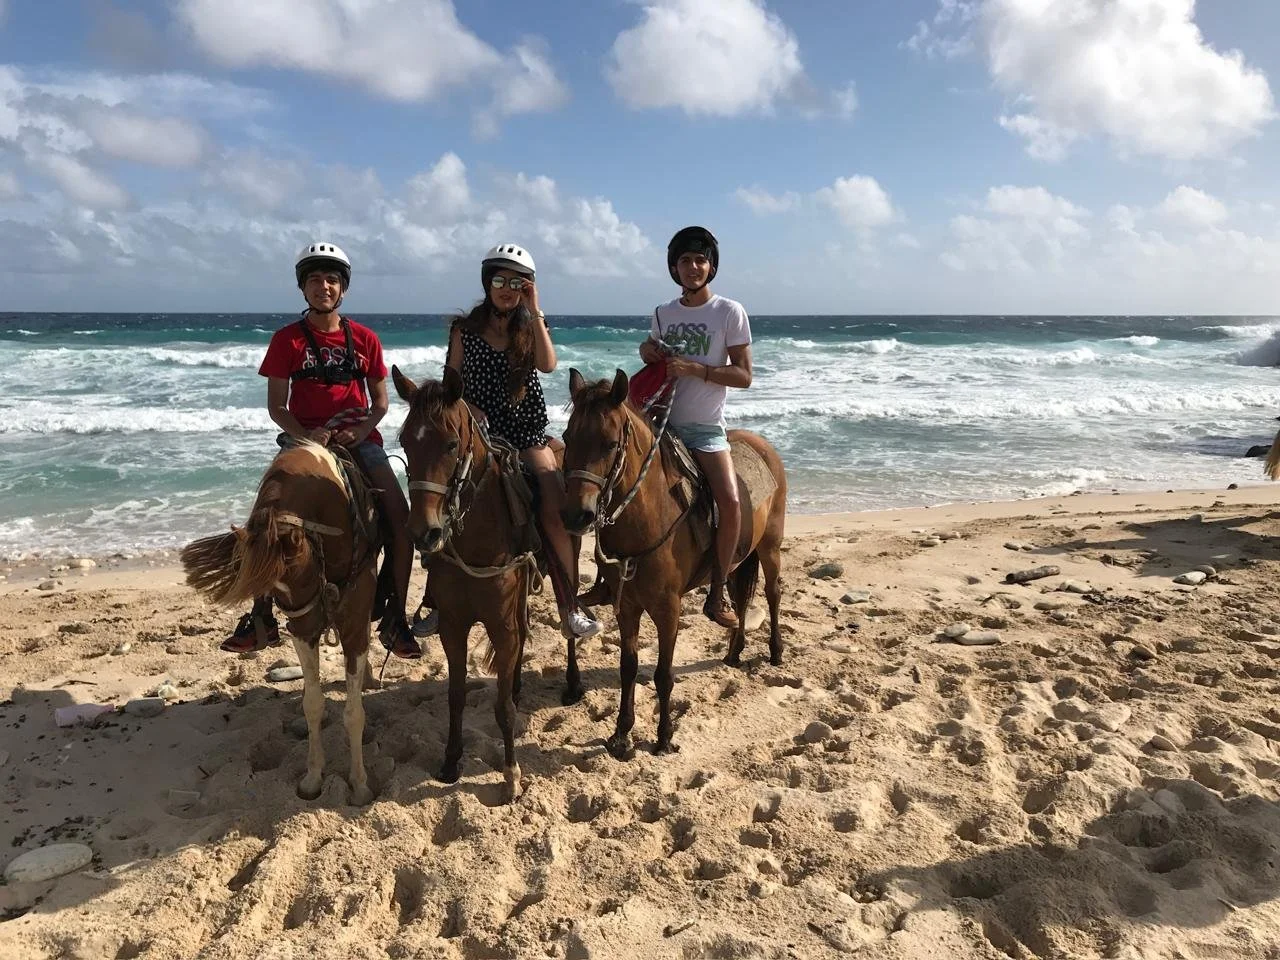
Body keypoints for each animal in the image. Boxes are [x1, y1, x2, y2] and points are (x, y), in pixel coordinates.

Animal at [179, 442, 380, 806]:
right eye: (270, 591)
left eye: (301, 575)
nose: (309, 620)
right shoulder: (302, 632)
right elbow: (312, 704)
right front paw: (313, 778)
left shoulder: (355, 627)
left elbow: (354, 712)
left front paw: (359, 785)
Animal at [392, 364, 572, 803]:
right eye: (405, 441)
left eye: (451, 444)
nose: (423, 532)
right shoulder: (454, 626)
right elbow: (455, 697)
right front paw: (450, 762)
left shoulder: (499, 624)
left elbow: (503, 709)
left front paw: (510, 775)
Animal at [560, 368, 787, 759]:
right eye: (566, 437)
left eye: (609, 443)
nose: (577, 515)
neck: (649, 515)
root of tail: (763, 446)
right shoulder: (628, 606)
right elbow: (628, 667)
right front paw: (621, 733)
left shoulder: (668, 609)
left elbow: (663, 675)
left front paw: (664, 736)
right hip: (739, 561)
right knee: (740, 599)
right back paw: (734, 651)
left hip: (770, 547)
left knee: (772, 595)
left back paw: (774, 651)